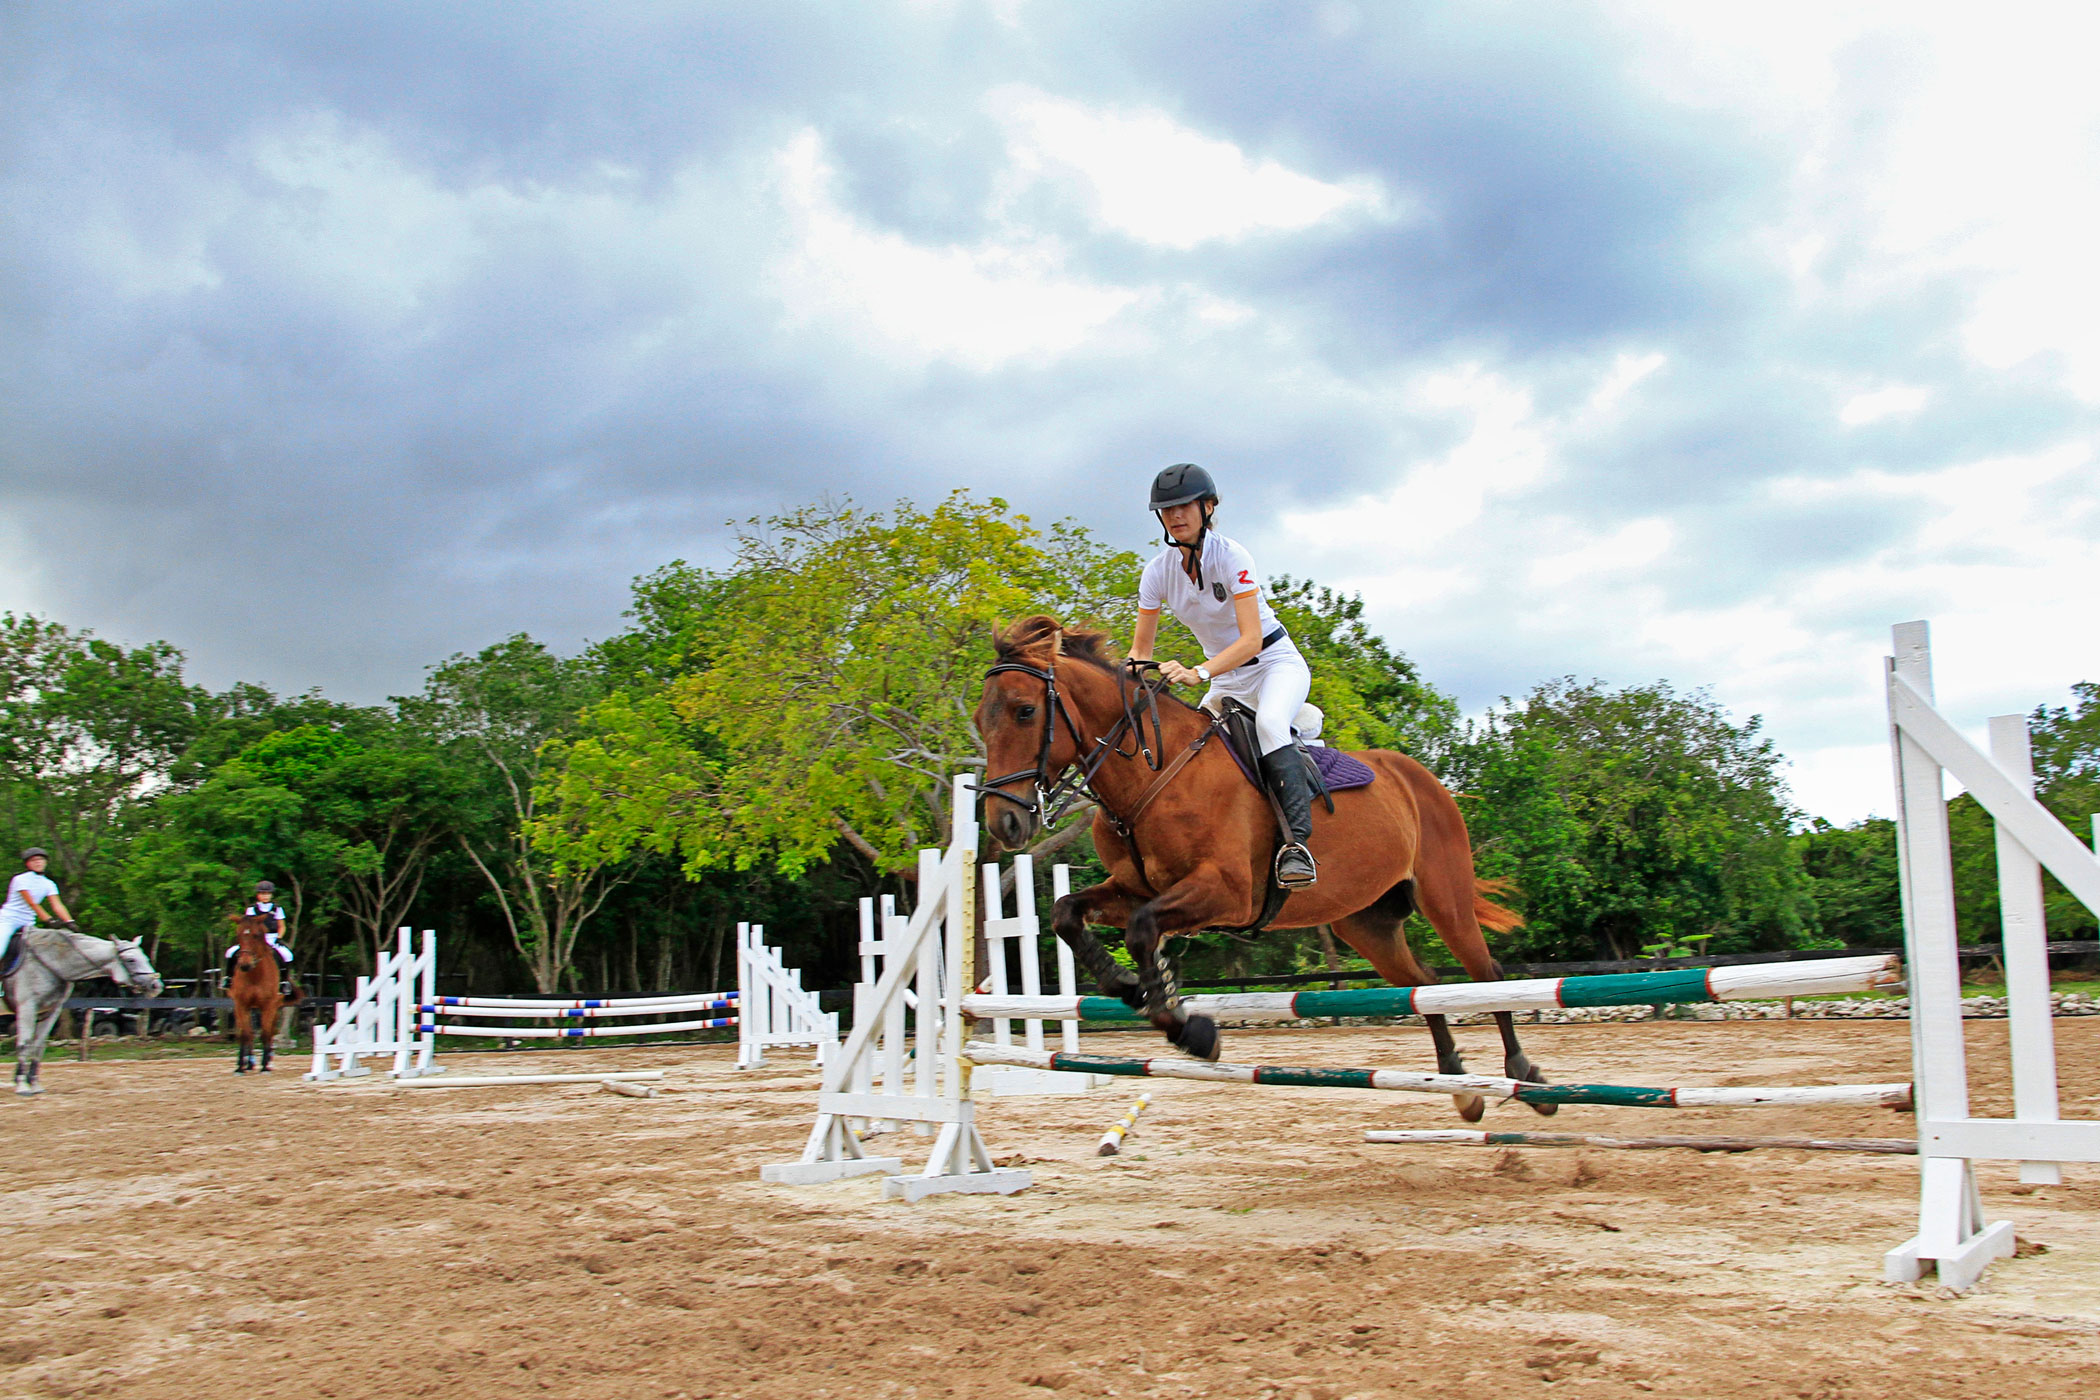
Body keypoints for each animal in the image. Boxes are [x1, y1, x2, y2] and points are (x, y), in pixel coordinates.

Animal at [4, 931, 161, 1091]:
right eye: (131, 960)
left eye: (146, 958)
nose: (156, 985)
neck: (49, 963)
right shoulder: (27, 1008)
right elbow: (24, 1044)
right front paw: (22, 1086)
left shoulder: (51, 1011)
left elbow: (38, 1045)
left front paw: (34, 1085)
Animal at [226, 915, 300, 1083]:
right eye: (239, 934)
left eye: (256, 935)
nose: (245, 964)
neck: (254, 975)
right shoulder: (241, 1005)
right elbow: (245, 1034)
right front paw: (240, 1067)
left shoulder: (269, 1006)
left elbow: (266, 1034)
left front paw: (265, 1067)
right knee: (250, 1034)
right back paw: (249, 1063)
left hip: (275, 1007)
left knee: (270, 1032)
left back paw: (268, 1060)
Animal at [974, 617, 1553, 1125]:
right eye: (981, 721)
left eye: (1025, 711)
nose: (1003, 822)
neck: (1151, 772)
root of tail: (1423, 778)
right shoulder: (1135, 888)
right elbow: (1066, 914)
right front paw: (1132, 986)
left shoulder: (1227, 893)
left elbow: (1141, 930)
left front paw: (1189, 1029)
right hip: (1366, 923)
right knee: (1426, 986)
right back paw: (1461, 1088)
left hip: (1444, 897)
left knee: (1487, 977)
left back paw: (1529, 1079)